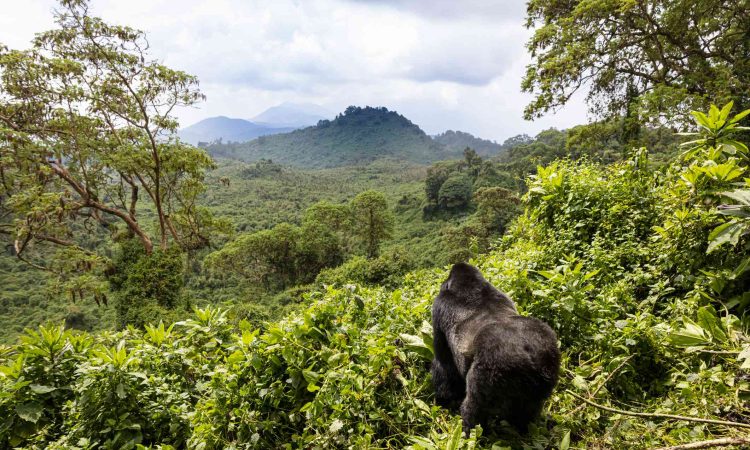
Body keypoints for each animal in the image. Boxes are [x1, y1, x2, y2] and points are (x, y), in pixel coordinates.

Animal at [432, 262, 560, 434]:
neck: (471, 286)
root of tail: (529, 355)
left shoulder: (439, 306)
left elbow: (443, 363)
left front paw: (445, 399)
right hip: (548, 359)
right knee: (529, 409)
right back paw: (523, 427)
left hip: (492, 368)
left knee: (475, 407)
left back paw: (470, 430)